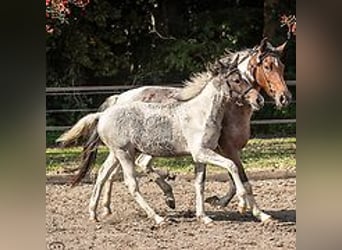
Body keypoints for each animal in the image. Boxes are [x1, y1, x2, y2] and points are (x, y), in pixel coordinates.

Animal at [67, 60, 268, 225]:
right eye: (236, 80)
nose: (259, 100)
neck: (201, 113)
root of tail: (102, 115)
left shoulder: (200, 157)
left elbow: (199, 184)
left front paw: (204, 217)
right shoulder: (203, 152)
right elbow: (232, 166)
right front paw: (242, 205)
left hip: (118, 153)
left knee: (102, 174)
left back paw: (94, 213)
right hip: (124, 154)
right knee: (131, 184)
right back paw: (158, 218)